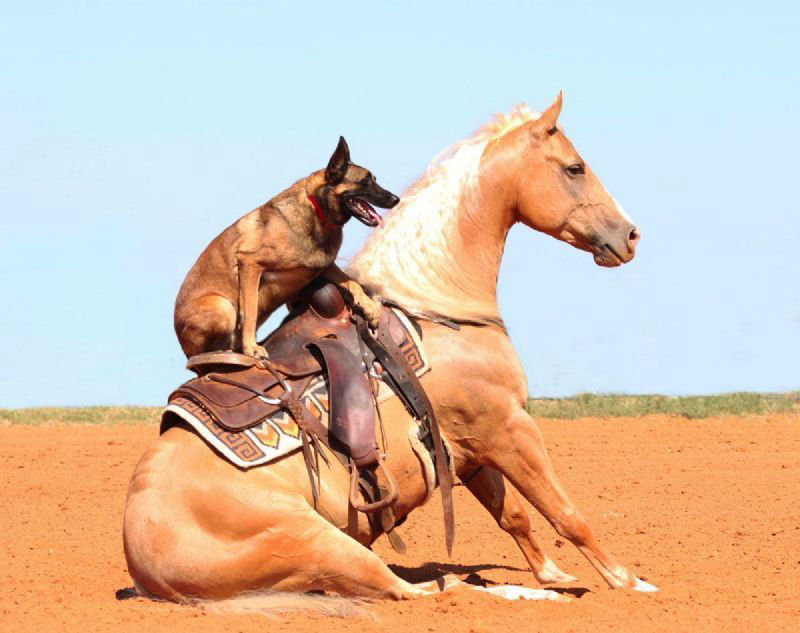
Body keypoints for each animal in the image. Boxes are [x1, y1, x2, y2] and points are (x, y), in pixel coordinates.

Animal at [123, 93, 654, 604]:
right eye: (574, 167)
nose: (629, 235)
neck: (433, 302)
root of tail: (145, 565)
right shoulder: (507, 429)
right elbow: (565, 512)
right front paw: (628, 582)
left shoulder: (469, 450)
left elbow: (514, 516)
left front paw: (555, 574)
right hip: (327, 544)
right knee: (416, 590)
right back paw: (516, 594)